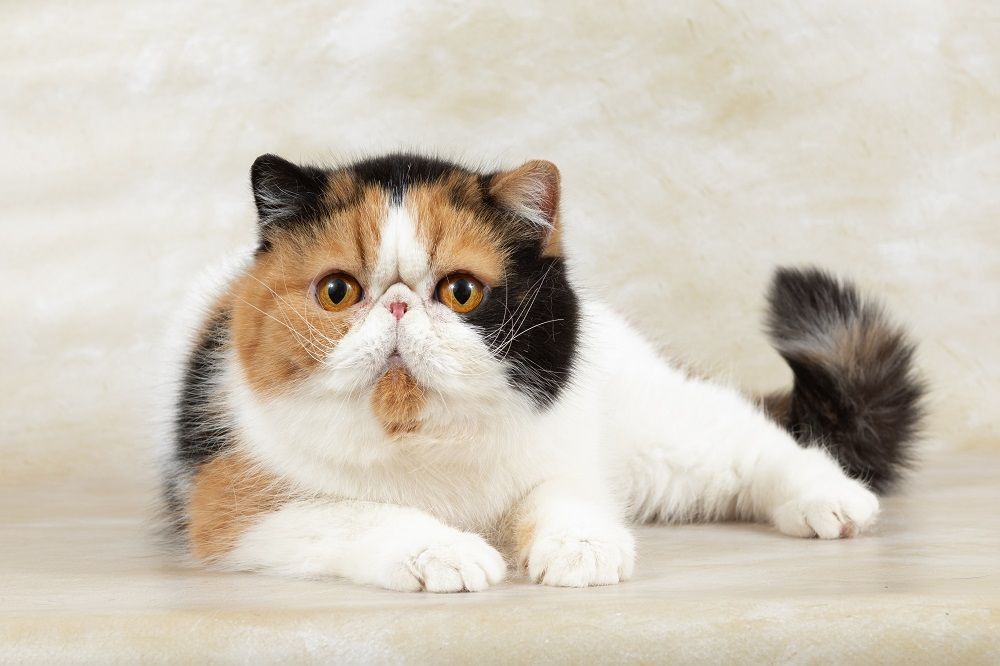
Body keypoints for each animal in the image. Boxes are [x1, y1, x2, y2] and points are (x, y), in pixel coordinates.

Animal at [162, 153, 920, 588]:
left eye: (461, 292)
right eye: (338, 291)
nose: (400, 305)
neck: (424, 439)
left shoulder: (565, 451)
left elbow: (563, 495)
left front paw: (581, 548)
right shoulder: (230, 502)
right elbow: (362, 513)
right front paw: (447, 552)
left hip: (662, 434)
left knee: (756, 443)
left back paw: (832, 502)